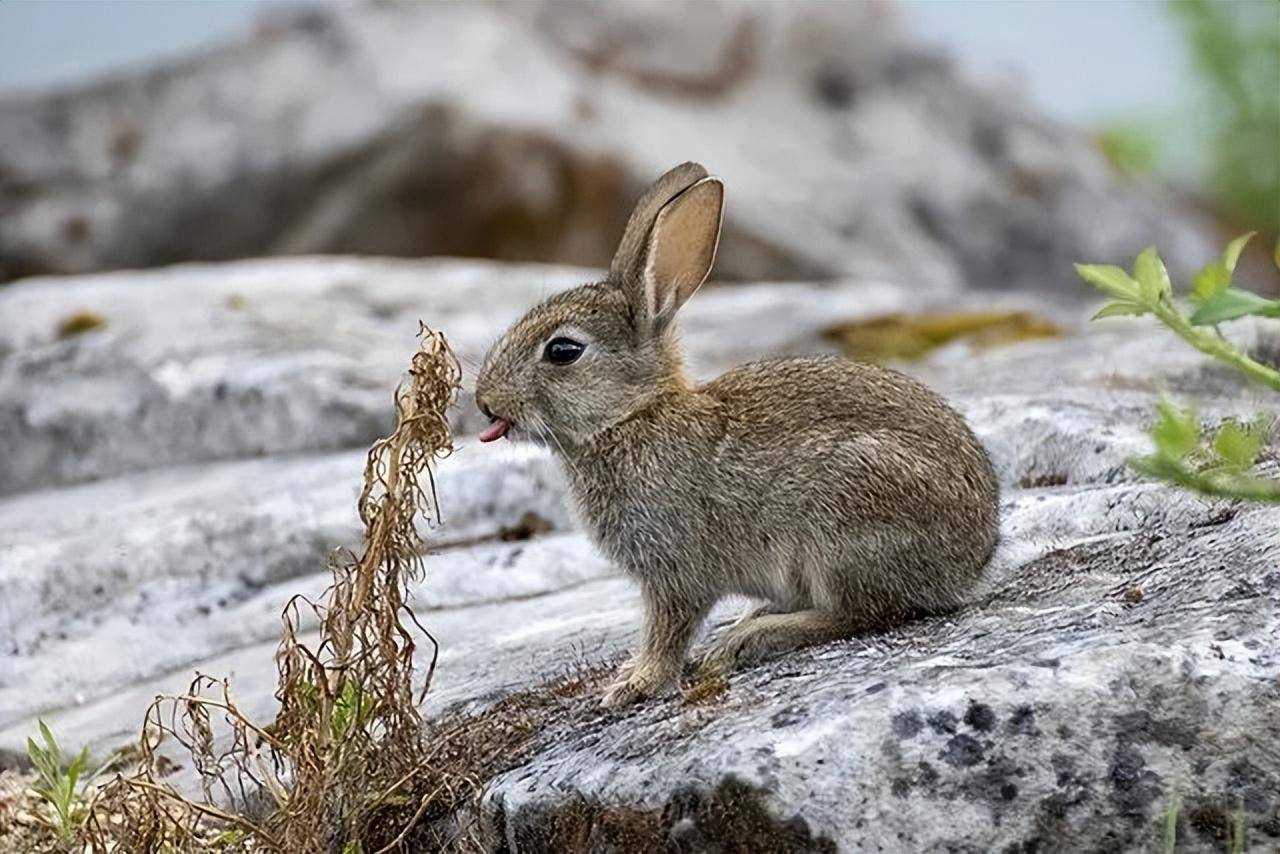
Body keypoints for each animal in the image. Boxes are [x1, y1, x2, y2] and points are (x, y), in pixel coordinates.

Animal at [476, 161, 1003, 706]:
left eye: (563, 351)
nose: (483, 401)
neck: (632, 417)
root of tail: (971, 562)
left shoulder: (674, 570)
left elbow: (668, 630)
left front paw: (635, 684)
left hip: (844, 518)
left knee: (863, 613)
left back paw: (750, 638)